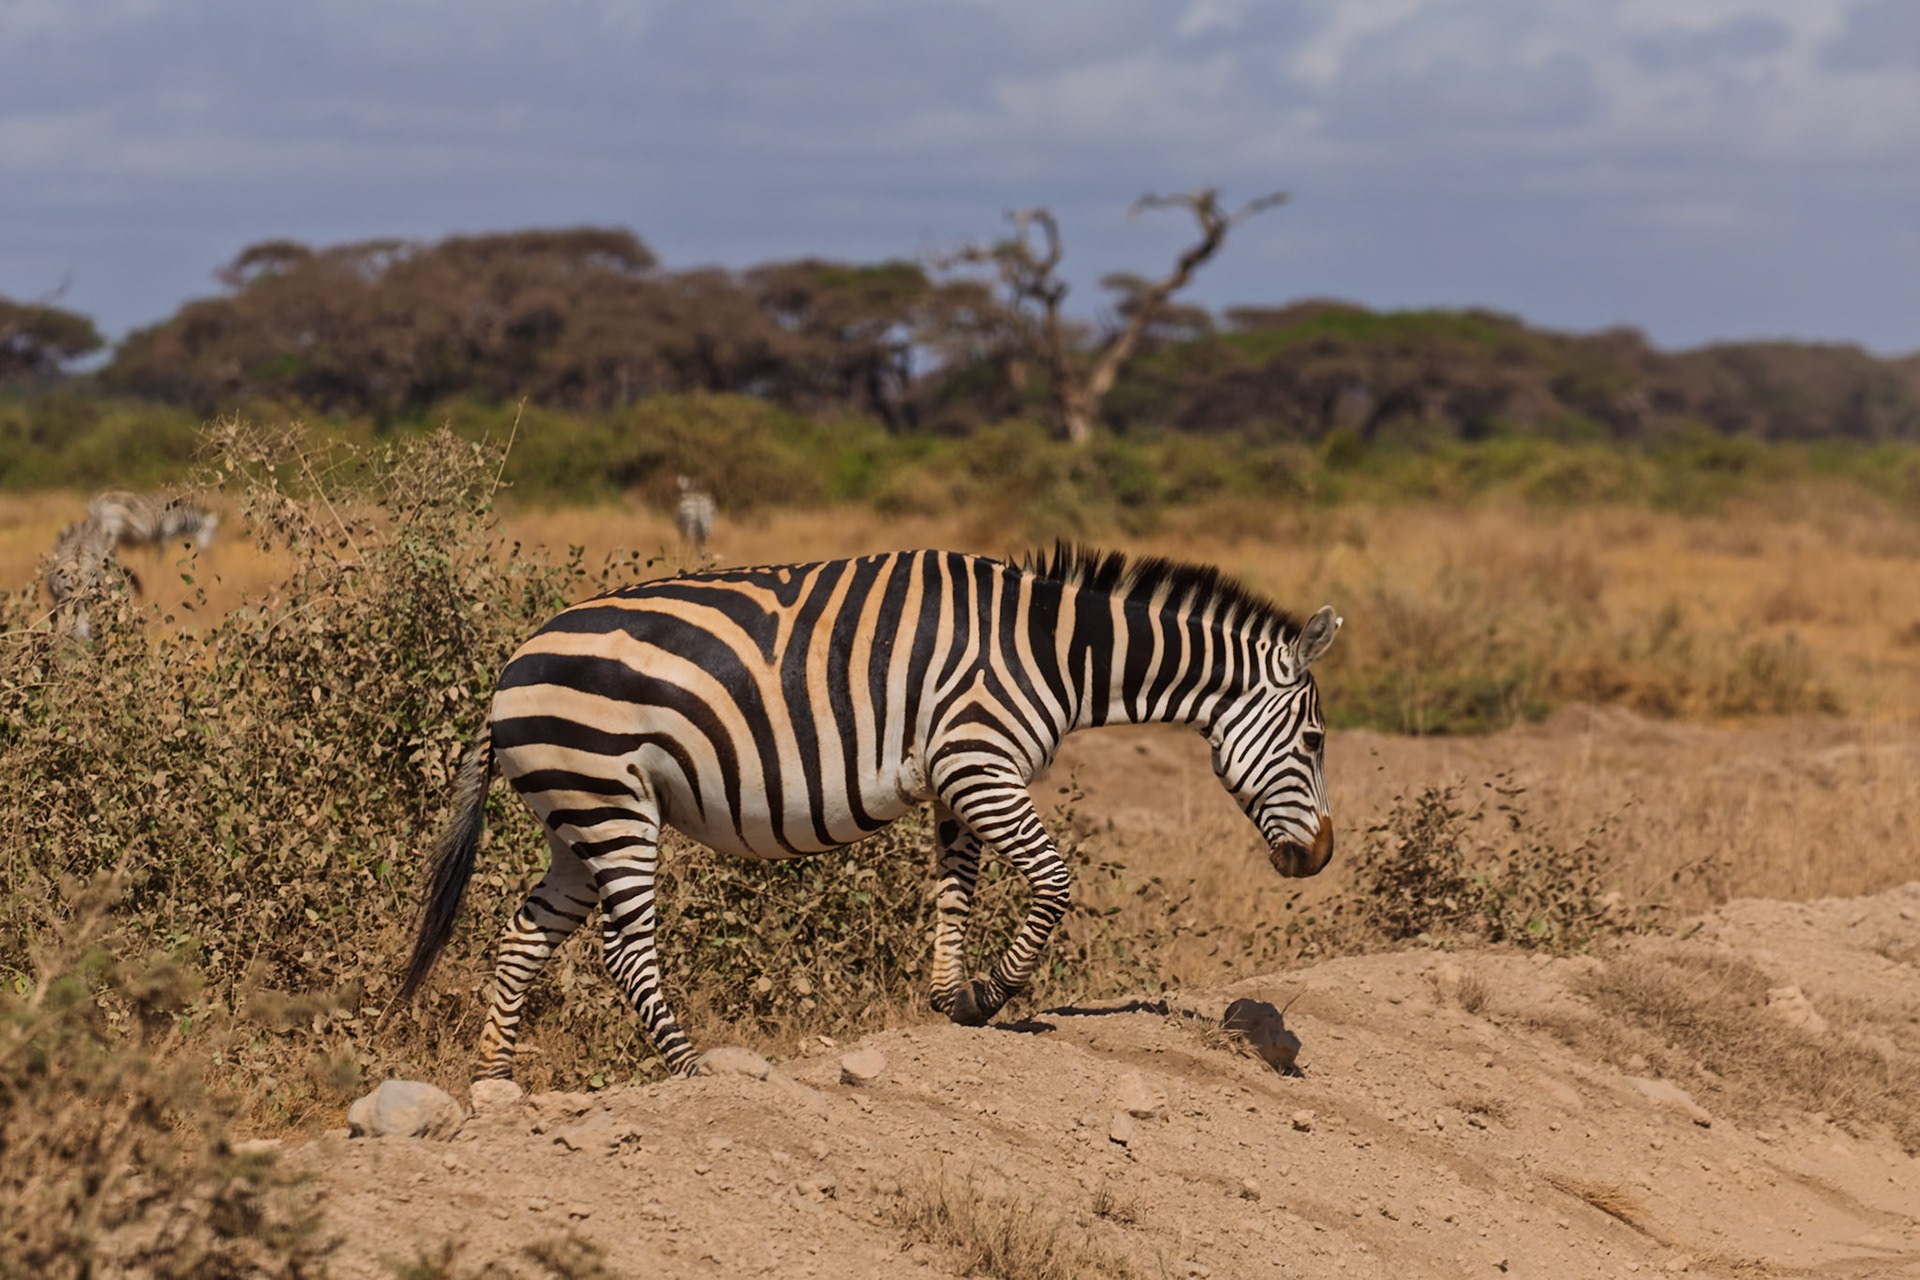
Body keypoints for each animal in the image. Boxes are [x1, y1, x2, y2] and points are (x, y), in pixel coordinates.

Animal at [399, 545, 1341, 1079]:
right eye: (1317, 740)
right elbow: (1054, 883)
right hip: (611, 804)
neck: (1053, 651)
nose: (1323, 856)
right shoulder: (979, 761)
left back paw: (493, 1083)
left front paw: (954, 999)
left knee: (524, 934)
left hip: (577, 815)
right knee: (624, 953)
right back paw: (692, 1072)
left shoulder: (958, 777)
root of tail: (508, 669)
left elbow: (956, 893)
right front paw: (996, 992)